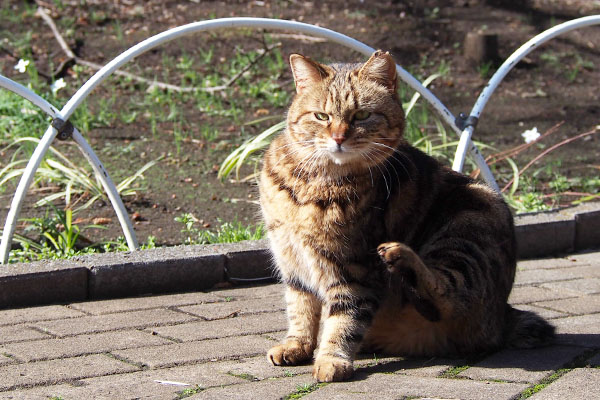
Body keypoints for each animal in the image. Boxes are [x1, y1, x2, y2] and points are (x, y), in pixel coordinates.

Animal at [258, 50, 552, 382]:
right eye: (322, 116)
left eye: (361, 116)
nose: (338, 138)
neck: (316, 182)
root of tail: (503, 316)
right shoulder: (292, 261)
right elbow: (300, 309)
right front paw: (296, 345)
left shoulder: (354, 268)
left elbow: (343, 317)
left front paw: (332, 359)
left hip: (465, 232)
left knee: (445, 297)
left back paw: (400, 256)